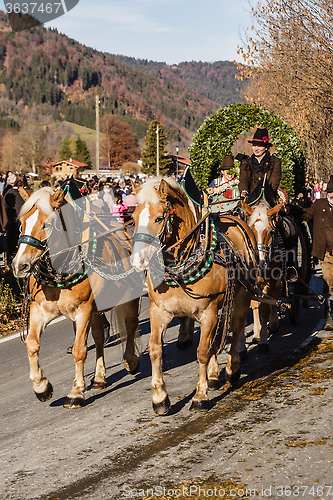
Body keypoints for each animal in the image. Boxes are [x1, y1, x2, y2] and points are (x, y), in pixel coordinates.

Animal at [12, 186, 139, 408]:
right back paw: (99, 377)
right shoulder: (39, 310)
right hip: (96, 310)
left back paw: (130, 360)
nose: (20, 265)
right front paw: (41, 386)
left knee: (131, 325)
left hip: (130, 297)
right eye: (22, 223)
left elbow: (79, 350)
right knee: (99, 336)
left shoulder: (83, 309)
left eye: (47, 224)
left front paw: (76, 392)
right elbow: (32, 344)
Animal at [130, 178, 256, 416]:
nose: (137, 260)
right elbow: (155, 350)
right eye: (132, 218)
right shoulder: (159, 311)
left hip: (241, 296)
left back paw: (232, 368)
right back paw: (215, 375)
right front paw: (160, 397)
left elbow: (202, 352)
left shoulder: (208, 312)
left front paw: (200, 396)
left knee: (235, 329)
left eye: (159, 218)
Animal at [240, 199, 284, 352]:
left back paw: (273, 323)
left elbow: (265, 308)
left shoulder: (270, 280)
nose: (259, 262)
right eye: (250, 231)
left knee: (276, 295)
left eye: (270, 232)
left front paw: (264, 339)